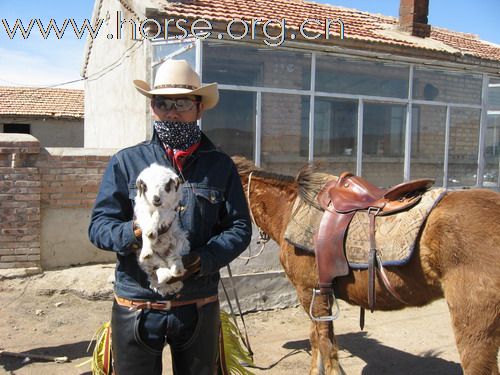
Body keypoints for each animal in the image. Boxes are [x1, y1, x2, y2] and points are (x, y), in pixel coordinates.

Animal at [234, 157, 500, 375]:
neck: (289, 209)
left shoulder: (309, 290)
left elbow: (324, 344)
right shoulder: (319, 294)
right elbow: (318, 339)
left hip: (475, 324)